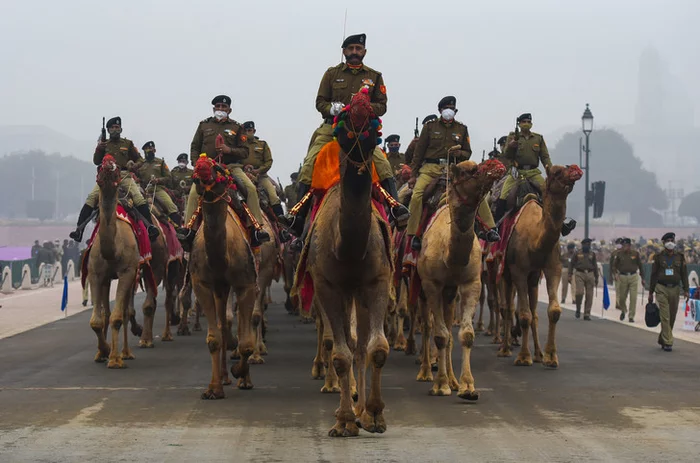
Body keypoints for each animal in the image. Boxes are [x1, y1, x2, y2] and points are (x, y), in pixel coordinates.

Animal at [87, 156, 142, 370]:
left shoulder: (127, 271)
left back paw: (126, 353)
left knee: (125, 312)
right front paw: (103, 351)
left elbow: (118, 317)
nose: (108, 164)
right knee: (107, 313)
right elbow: (97, 320)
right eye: (100, 168)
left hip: (134, 272)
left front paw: (114, 359)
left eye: (118, 171)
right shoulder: (95, 273)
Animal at [189, 159, 260, 398]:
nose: (202, 169)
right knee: (222, 323)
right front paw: (213, 388)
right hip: (220, 289)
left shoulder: (246, 283)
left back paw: (242, 379)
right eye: (195, 171)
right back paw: (224, 377)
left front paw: (240, 371)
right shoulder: (202, 284)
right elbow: (213, 338)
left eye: (217, 169)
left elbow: (246, 342)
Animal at [298, 88, 392, 438]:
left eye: (375, 124)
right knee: (350, 345)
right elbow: (339, 353)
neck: (348, 249)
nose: (361, 155)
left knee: (362, 345)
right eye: (345, 121)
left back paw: (363, 410)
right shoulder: (327, 285)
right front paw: (344, 421)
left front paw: (374, 416)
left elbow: (377, 348)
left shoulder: (377, 281)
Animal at [416, 160, 504, 398]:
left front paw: (467, 386)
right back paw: (426, 373)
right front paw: (440, 385)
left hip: (450, 292)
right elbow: (439, 335)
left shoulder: (470, 282)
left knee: (448, 330)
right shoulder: (432, 284)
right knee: (428, 326)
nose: (498, 167)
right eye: (468, 171)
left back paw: (453, 380)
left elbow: (465, 334)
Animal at [498, 165, 584, 368]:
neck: (535, 240)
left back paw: (537, 353)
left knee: (533, 312)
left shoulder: (553, 268)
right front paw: (523, 357)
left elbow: (553, 311)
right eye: (556, 172)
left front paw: (550, 356)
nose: (576, 170)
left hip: (534, 278)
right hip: (505, 271)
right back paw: (505, 348)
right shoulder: (519, 271)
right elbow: (524, 315)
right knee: (507, 308)